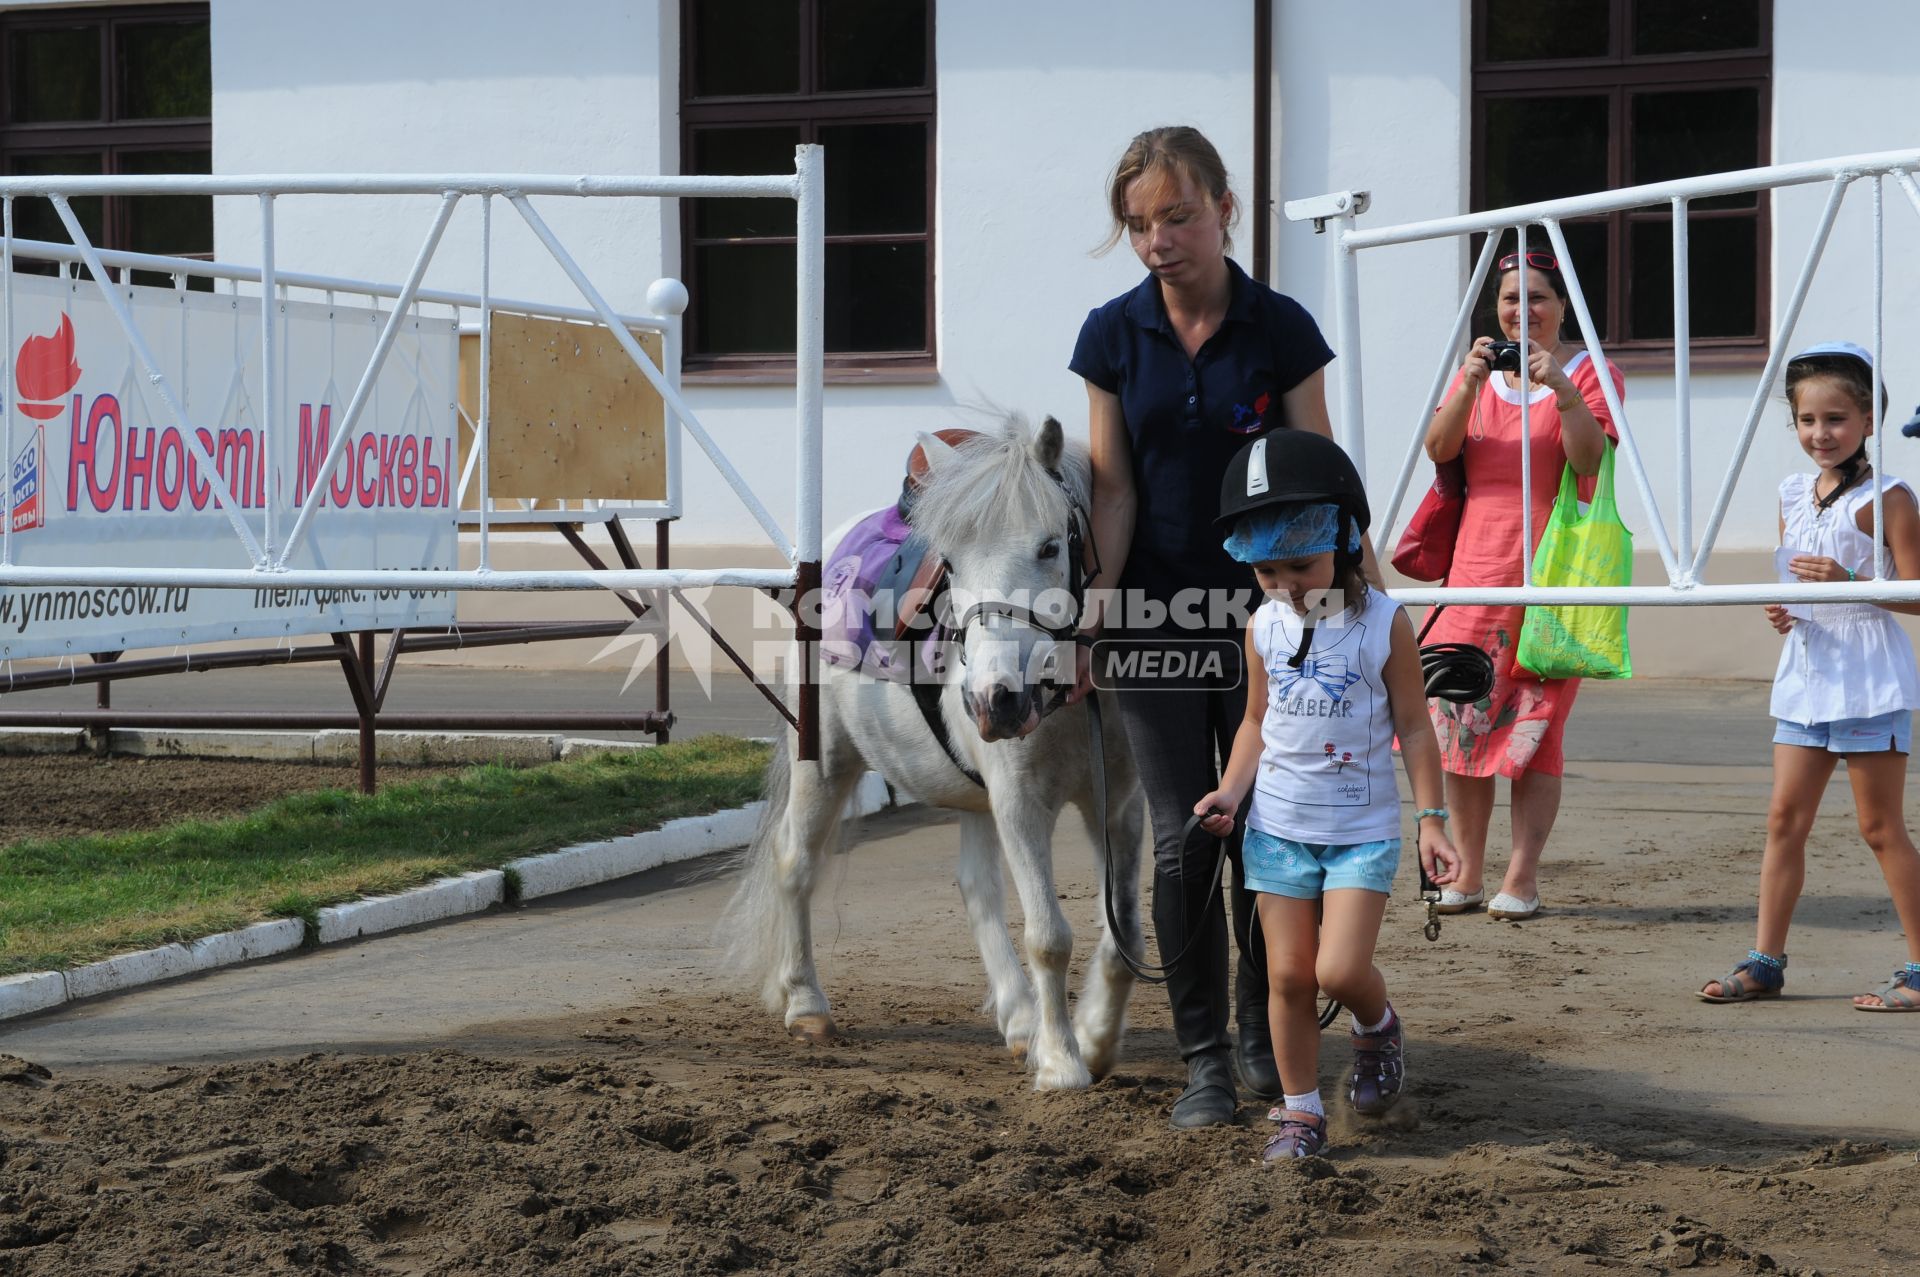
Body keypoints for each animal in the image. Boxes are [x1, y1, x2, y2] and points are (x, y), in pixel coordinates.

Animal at [718, 416, 1136, 1083]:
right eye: (951, 562)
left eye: (1051, 546)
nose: (995, 700)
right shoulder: (1021, 803)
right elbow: (1049, 936)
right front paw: (1062, 1065)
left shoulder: (1117, 803)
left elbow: (1124, 933)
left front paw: (1094, 1040)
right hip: (826, 761)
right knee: (795, 862)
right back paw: (805, 1003)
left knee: (977, 888)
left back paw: (1020, 1020)